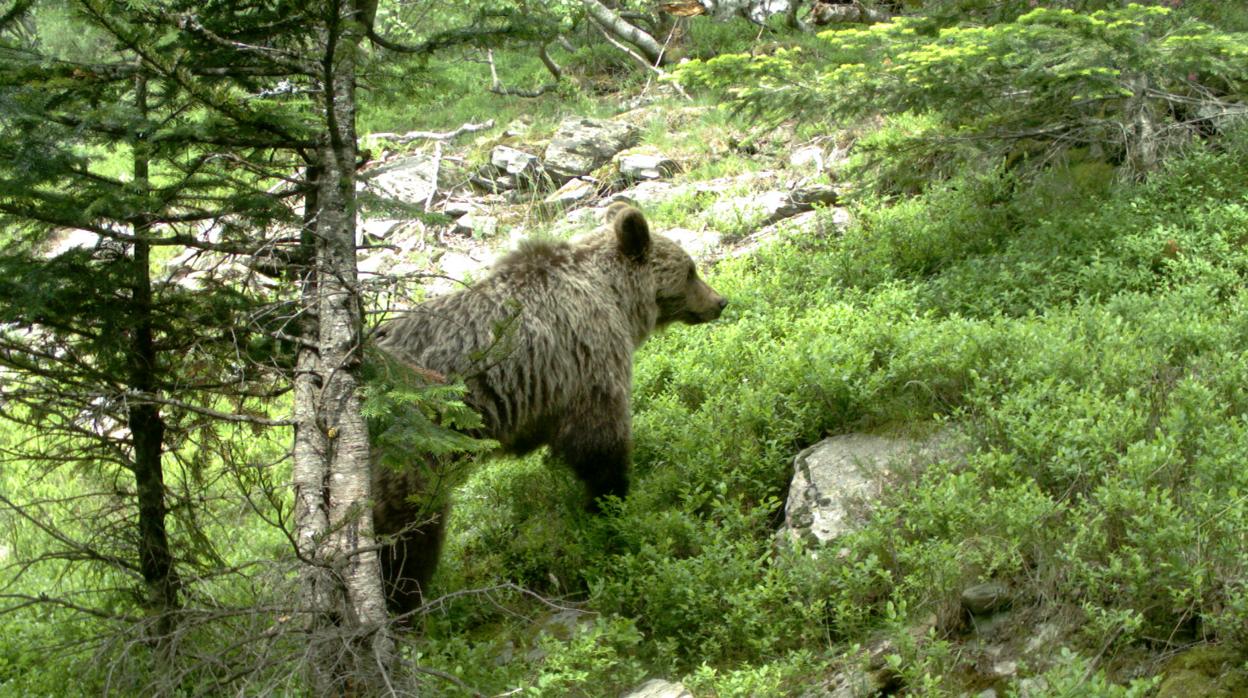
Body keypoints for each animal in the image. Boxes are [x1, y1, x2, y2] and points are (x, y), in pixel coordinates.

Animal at [369, 204, 723, 614]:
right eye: (691, 270)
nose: (720, 301)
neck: (615, 297)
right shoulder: (587, 359)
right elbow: (600, 441)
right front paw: (611, 502)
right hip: (411, 453)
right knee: (408, 538)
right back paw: (405, 603)